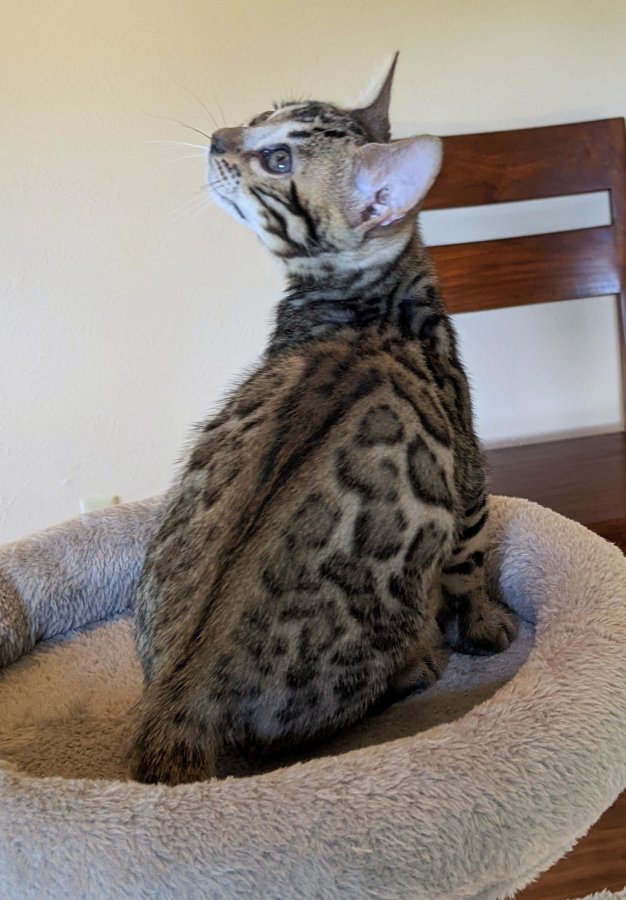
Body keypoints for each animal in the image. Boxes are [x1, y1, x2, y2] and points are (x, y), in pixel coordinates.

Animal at [129, 54, 518, 785]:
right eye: (261, 114)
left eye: (278, 158)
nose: (218, 137)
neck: (368, 301)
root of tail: (170, 701)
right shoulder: (467, 470)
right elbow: (470, 561)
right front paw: (486, 627)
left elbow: (471, 563)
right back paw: (421, 660)